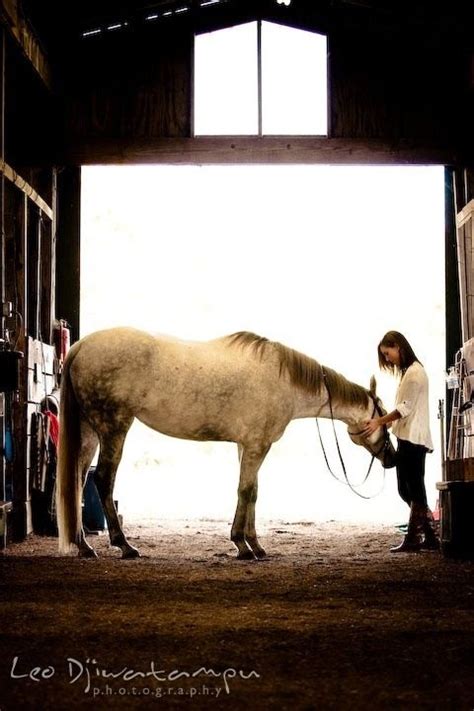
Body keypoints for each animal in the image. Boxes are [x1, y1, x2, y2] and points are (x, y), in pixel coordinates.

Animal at [56, 326, 396, 560]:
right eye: (383, 417)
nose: (392, 457)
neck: (284, 381)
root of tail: (80, 346)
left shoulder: (247, 446)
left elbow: (252, 492)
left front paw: (255, 545)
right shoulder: (258, 446)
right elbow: (246, 491)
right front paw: (242, 546)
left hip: (90, 431)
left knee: (77, 480)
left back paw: (84, 546)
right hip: (114, 427)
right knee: (103, 479)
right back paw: (124, 545)